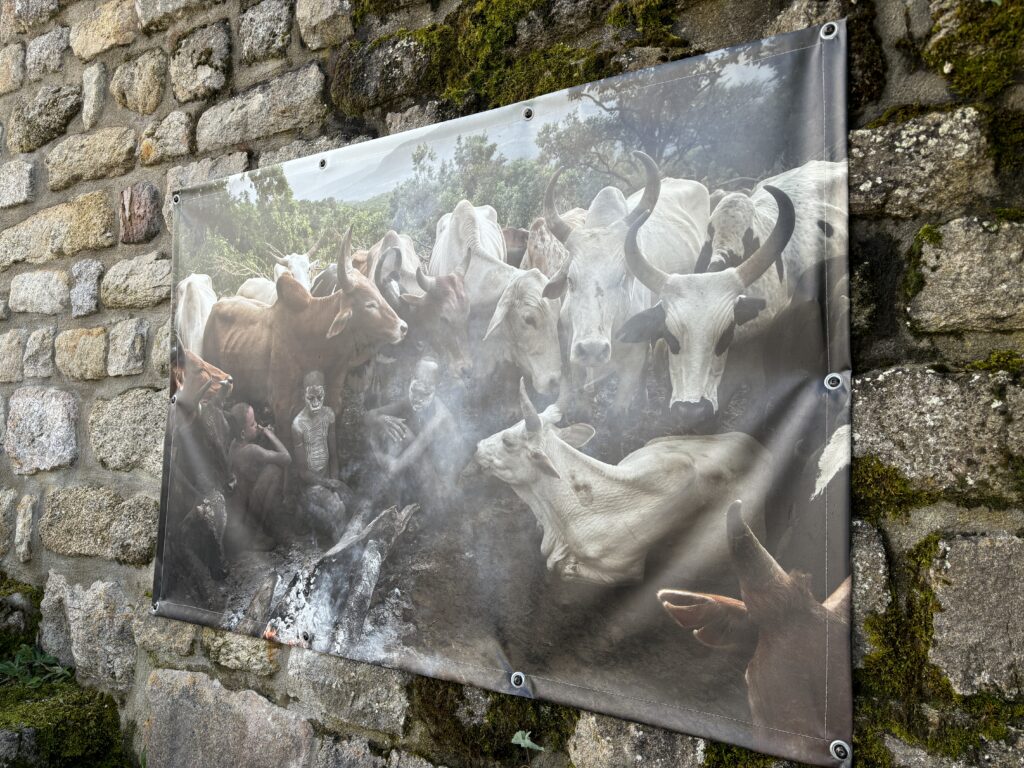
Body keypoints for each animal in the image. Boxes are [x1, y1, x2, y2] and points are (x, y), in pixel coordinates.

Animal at [544, 151, 712, 415]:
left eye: (623, 277)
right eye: (570, 279)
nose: (592, 349)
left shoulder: (632, 362)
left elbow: (619, 409)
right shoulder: (574, 355)